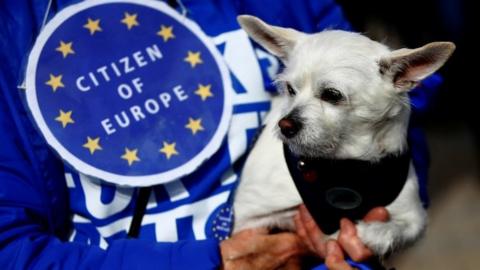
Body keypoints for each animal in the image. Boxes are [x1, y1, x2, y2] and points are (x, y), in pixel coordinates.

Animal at [232, 14, 454, 255]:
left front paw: (361, 234)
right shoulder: (245, 215)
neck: (345, 164)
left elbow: (388, 231)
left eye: (332, 94)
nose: (285, 125)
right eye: (290, 89)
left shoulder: (414, 216)